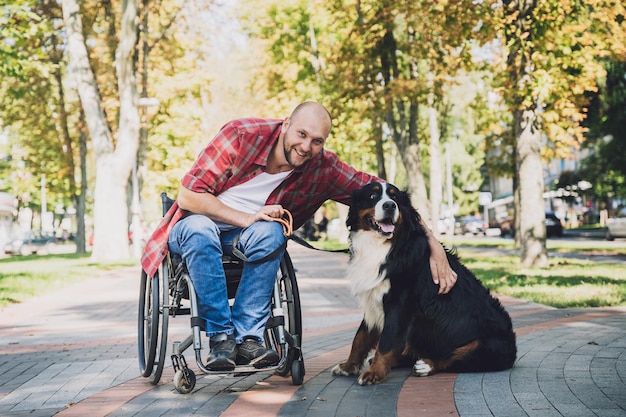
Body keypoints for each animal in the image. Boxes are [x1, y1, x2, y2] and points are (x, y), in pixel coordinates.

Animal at [330, 182, 516, 384]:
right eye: (372, 196)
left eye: (395, 198)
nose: (389, 206)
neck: (382, 247)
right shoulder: (373, 301)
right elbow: (360, 338)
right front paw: (348, 366)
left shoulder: (398, 306)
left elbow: (385, 343)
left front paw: (374, 373)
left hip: (486, 344)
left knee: (451, 359)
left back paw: (426, 365)